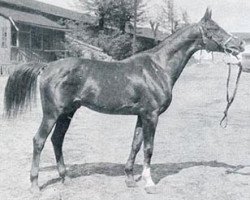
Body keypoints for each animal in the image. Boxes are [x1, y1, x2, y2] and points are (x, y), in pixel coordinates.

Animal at [3, 8, 244, 194]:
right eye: (214, 29)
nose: (240, 44)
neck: (158, 67)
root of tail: (47, 67)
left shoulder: (141, 115)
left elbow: (136, 145)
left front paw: (129, 179)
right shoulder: (151, 115)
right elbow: (148, 148)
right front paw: (149, 183)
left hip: (67, 112)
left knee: (57, 140)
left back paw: (65, 178)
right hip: (52, 113)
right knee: (39, 141)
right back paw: (35, 186)